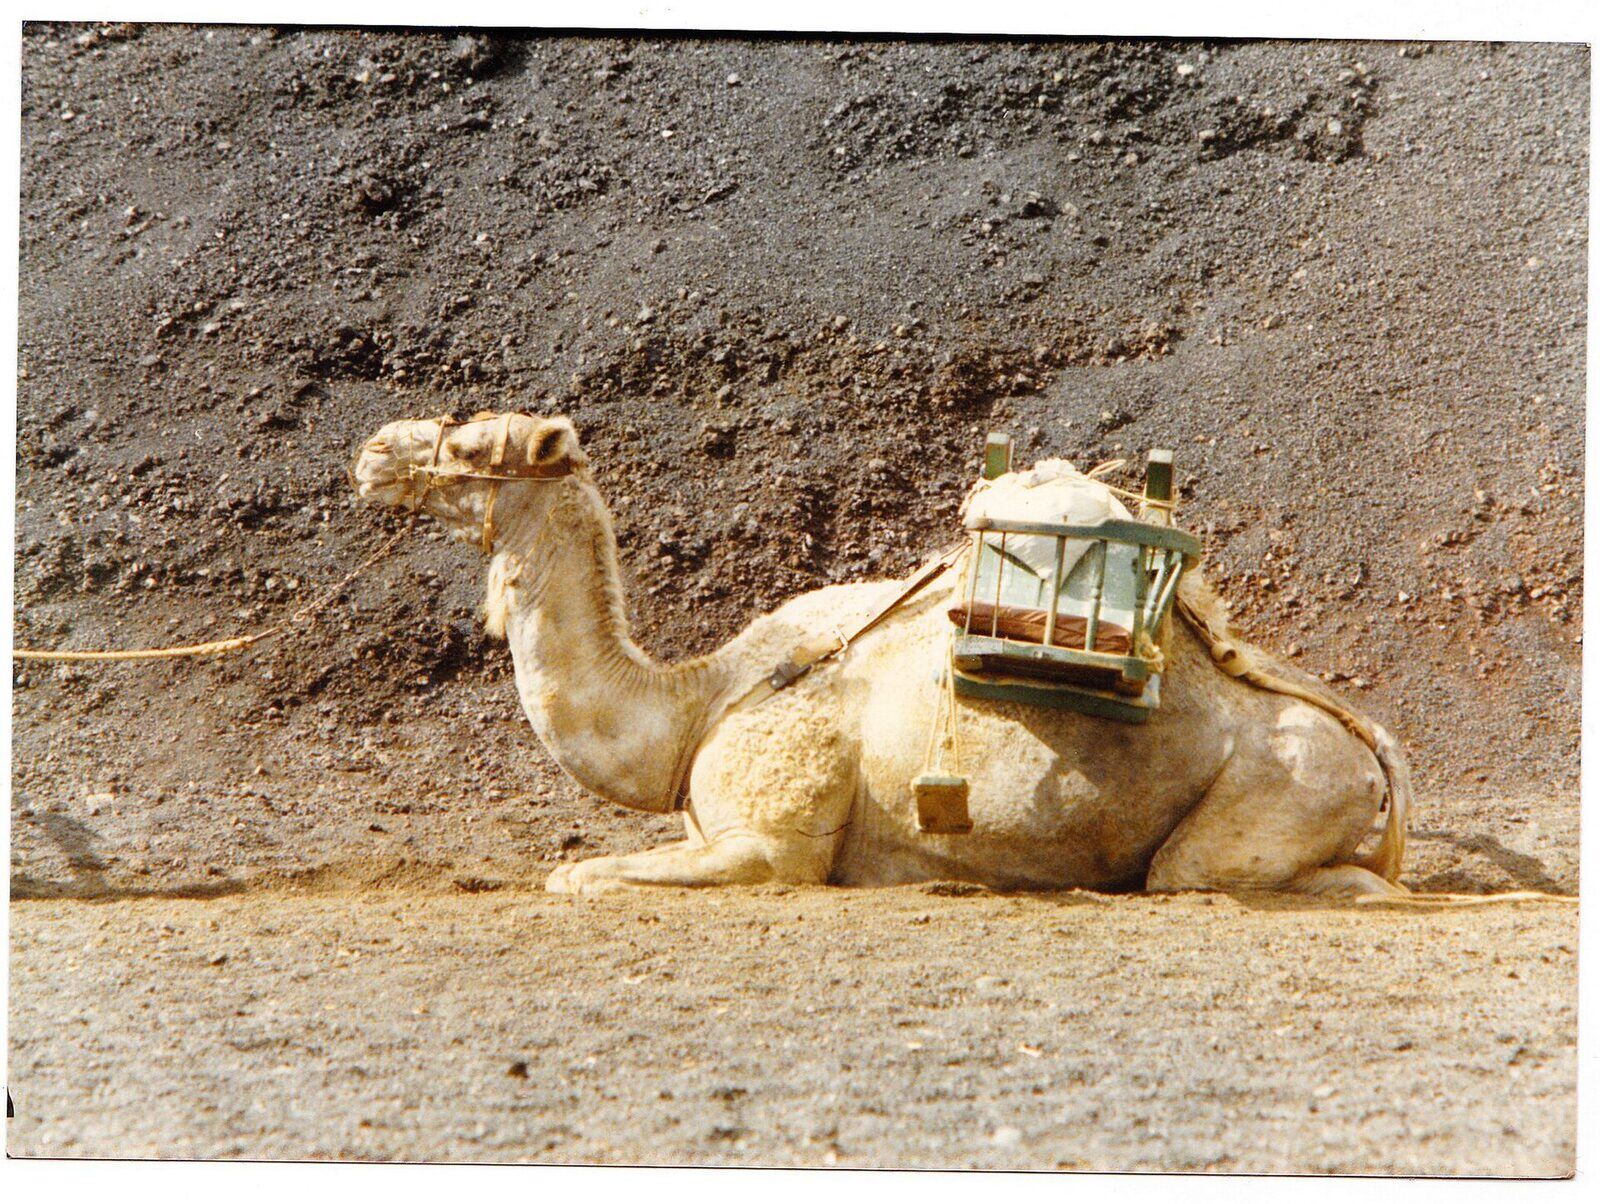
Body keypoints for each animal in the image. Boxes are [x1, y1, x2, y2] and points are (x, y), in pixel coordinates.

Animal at [351, 411, 1410, 898]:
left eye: (471, 442)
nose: (372, 451)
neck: (700, 701)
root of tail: (1372, 748)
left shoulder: (772, 845)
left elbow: (577, 878)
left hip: (1278, 793)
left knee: (1212, 875)